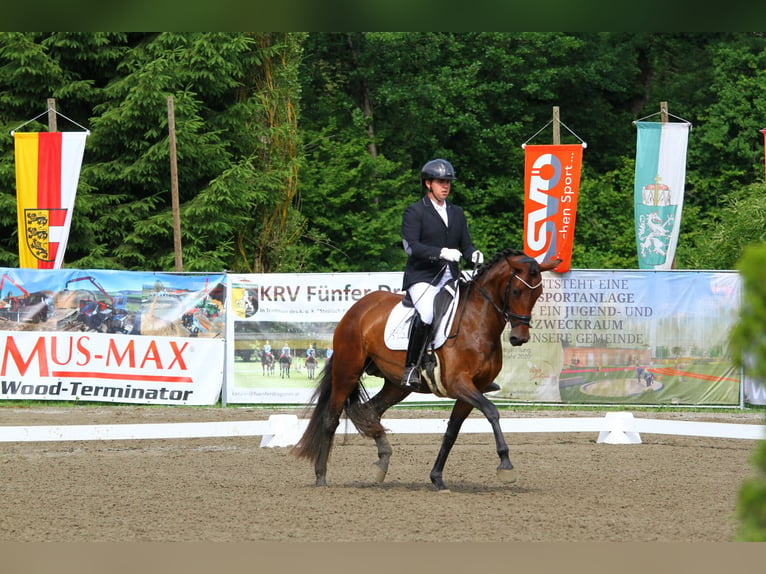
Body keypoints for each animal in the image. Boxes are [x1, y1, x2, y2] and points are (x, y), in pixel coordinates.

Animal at [292, 250, 560, 492]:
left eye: (537, 294)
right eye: (515, 292)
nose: (519, 338)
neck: (477, 322)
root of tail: (358, 308)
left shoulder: (472, 390)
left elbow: (452, 431)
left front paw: (437, 478)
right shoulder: (459, 384)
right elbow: (492, 412)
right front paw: (505, 465)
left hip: (397, 385)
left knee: (369, 411)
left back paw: (382, 461)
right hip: (347, 371)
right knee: (332, 417)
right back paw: (321, 476)